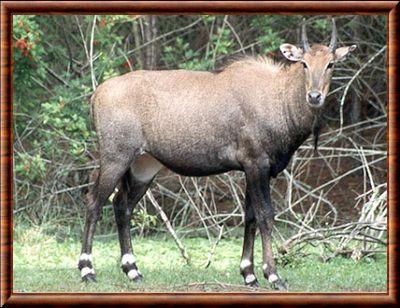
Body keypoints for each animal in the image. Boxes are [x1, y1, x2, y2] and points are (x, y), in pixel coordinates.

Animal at [78, 18, 356, 290]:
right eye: (304, 64)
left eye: (331, 64)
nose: (314, 96)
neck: (278, 98)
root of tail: (96, 94)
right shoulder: (257, 163)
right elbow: (265, 215)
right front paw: (273, 275)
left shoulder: (252, 169)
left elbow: (250, 216)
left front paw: (249, 275)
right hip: (116, 157)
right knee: (94, 202)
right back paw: (87, 270)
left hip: (143, 166)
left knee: (121, 205)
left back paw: (133, 270)